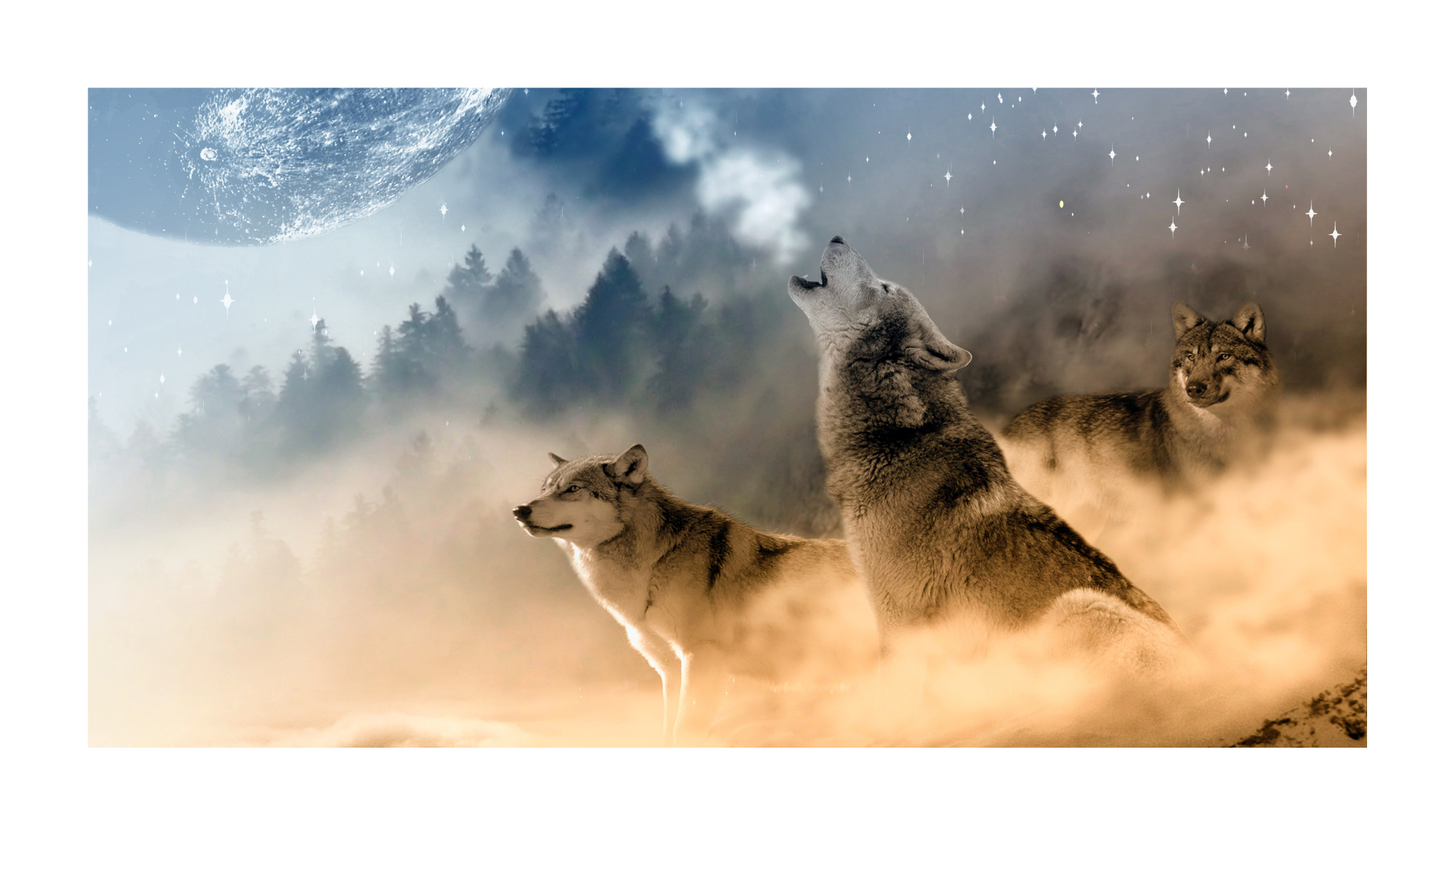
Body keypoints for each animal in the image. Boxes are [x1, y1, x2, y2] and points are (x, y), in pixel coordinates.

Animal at [513, 444, 877, 745]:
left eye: (572, 490)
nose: (520, 510)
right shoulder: (670, 671)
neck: (654, 563)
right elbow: (666, 734)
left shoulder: (701, 660)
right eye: (545, 489)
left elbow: (684, 731)